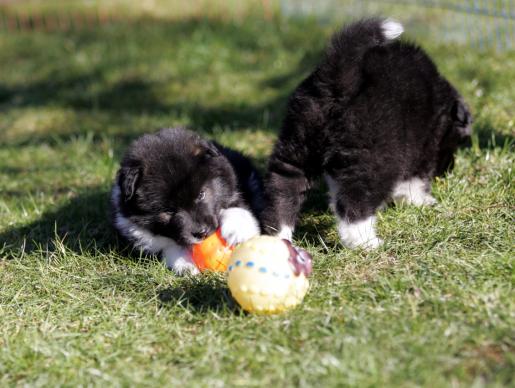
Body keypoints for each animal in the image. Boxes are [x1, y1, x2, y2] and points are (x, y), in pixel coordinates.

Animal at [111, 127, 264, 272]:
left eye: (201, 194)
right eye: (169, 211)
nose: (201, 233)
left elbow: (235, 206)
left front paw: (237, 231)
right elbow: (169, 245)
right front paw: (184, 263)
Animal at [262, 18, 472, 249]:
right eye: (458, 142)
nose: (449, 171)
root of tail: (338, 79)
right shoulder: (423, 145)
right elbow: (414, 180)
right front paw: (420, 201)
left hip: (297, 144)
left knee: (283, 187)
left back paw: (277, 237)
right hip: (375, 156)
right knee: (355, 201)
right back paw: (366, 242)